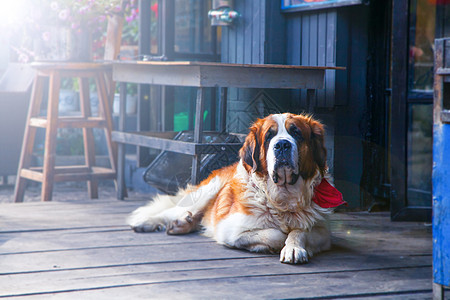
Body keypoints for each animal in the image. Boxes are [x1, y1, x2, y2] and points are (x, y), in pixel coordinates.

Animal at [126, 113, 344, 264]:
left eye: (296, 133)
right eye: (269, 136)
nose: (282, 145)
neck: (281, 199)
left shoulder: (322, 232)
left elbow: (300, 231)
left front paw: (293, 248)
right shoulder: (230, 229)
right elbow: (275, 233)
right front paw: (276, 242)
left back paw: (182, 224)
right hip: (207, 191)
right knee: (172, 211)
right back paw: (148, 222)